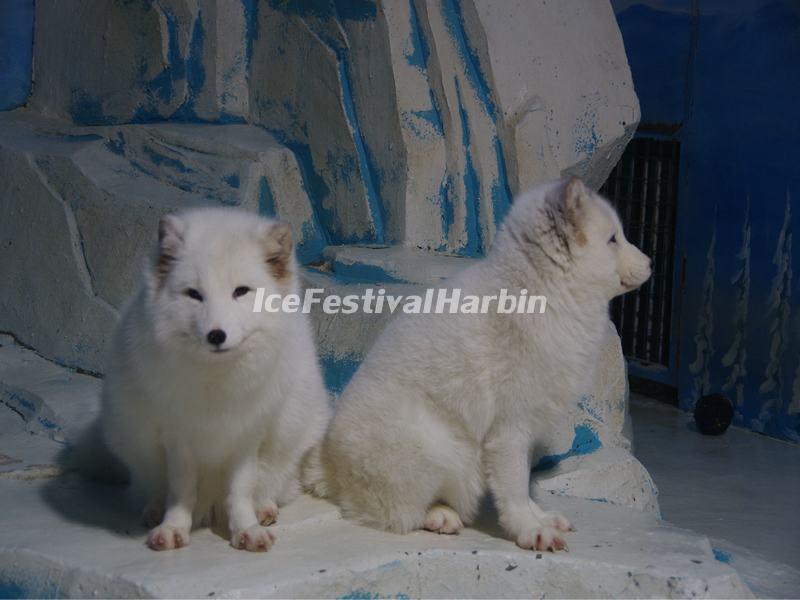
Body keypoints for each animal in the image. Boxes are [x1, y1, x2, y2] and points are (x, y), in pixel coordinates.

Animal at [101, 207, 332, 552]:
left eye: (241, 291)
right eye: (194, 295)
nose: (216, 335)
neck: (217, 382)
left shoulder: (247, 435)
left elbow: (239, 491)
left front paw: (246, 528)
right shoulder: (178, 438)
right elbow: (181, 492)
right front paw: (173, 527)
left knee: (271, 487)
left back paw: (263, 509)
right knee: (151, 488)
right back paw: (154, 511)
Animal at [306, 177, 648, 552]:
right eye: (613, 239)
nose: (650, 263)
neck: (540, 292)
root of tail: (327, 462)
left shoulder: (528, 428)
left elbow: (525, 486)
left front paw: (540, 518)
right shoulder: (508, 429)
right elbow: (515, 488)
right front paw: (530, 530)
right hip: (439, 446)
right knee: (398, 513)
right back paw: (440, 516)